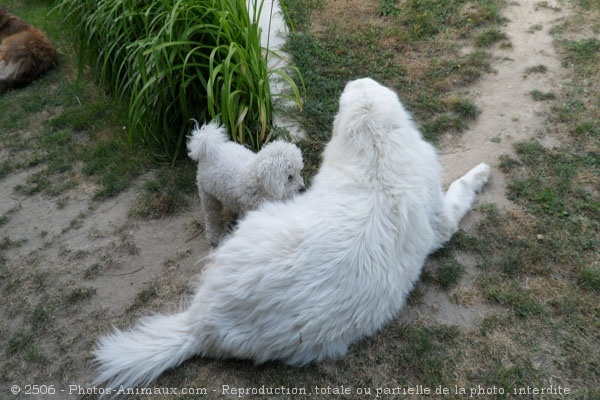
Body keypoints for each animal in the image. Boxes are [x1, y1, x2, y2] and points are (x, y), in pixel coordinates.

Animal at [92, 76, 488, 390]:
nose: (358, 79)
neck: (375, 151)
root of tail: (201, 323)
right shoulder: (442, 221)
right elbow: (461, 187)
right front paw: (482, 172)